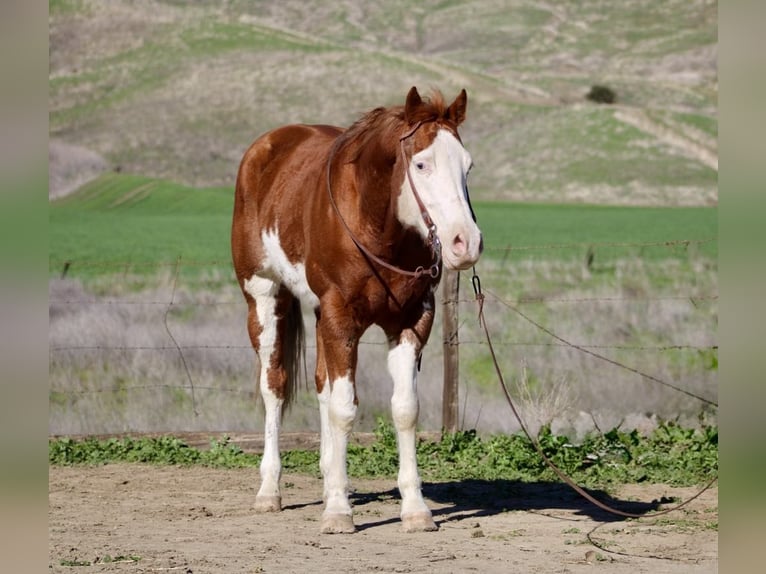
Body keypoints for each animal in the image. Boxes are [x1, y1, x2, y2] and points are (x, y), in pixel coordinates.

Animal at [232, 86, 486, 536]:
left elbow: (403, 410)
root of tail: (265, 148)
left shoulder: (411, 321)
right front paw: (338, 510)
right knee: (274, 386)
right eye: (421, 164)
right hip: (263, 297)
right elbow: (344, 409)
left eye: (467, 166)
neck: (377, 226)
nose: (465, 242)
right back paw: (269, 490)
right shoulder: (340, 318)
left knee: (321, 385)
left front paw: (415, 509)